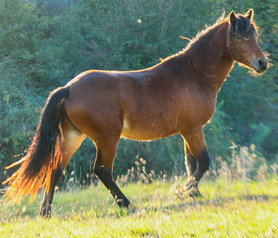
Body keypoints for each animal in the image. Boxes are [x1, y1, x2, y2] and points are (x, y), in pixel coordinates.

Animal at [2, 9, 268, 218]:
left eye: (255, 35)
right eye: (240, 37)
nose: (262, 63)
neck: (194, 74)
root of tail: (69, 88)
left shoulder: (188, 131)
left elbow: (191, 163)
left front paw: (193, 194)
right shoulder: (193, 130)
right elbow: (203, 163)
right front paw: (182, 192)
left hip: (73, 137)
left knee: (55, 170)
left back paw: (45, 212)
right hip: (107, 138)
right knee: (102, 171)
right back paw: (127, 204)